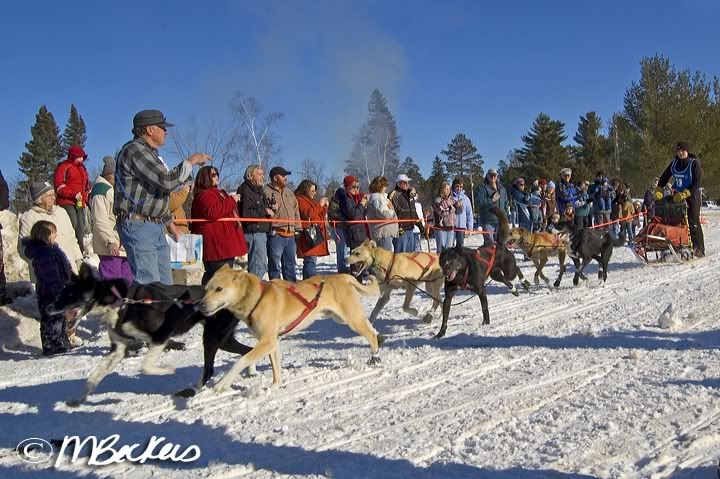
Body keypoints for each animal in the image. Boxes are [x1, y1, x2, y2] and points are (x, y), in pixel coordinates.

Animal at [47, 264, 250, 406]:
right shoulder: (118, 350)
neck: (122, 302)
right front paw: (77, 399)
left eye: (69, 294)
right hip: (222, 340)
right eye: (60, 293)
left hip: (211, 337)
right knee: (245, 351)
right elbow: (94, 377)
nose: (48, 308)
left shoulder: (162, 334)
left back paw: (191, 391)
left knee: (209, 369)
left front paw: (167, 369)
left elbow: (146, 366)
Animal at [197, 266, 382, 394]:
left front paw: (222, 384)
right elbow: (276, 369)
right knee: (371, 327)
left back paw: (375, 356)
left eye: (219, 289)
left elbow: (242, 360)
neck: (257, 298)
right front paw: (275, 386)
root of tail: (343, 276)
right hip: (344, 318)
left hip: (351, 320)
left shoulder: (267, 341)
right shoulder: (272, 343)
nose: (200, 305)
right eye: (206, 289)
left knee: (371, 335)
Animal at [434, 208, 528, 340]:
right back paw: (514, 290)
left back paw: (525, 282)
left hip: (509, 270)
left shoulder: (481, 290)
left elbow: (484, 308)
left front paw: (486, 323)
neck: (463, 273)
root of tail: (499, 245)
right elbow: (445, 317)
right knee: (506, 281)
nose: (446, 272)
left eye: (452, 261)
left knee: (517, 270)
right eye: (443, 261)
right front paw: (441, 333)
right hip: (496, 275)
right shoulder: (448, 296)